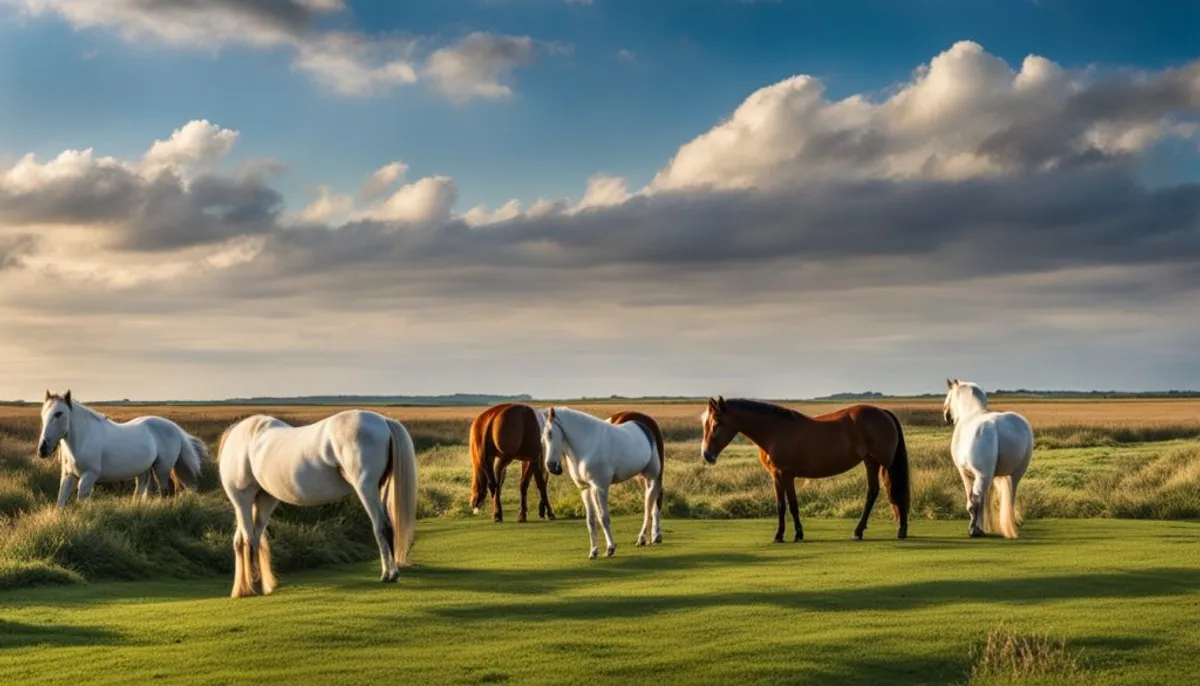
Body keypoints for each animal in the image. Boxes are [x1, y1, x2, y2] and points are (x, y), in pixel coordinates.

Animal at [36, 388, 206, 506]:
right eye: (43, 414)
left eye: (59, 413)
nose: (42, 449)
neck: (82, 440)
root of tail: (174, 427)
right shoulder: (68, 476)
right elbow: (61, 501)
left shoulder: (89, 476)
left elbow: (81, 499)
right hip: (145, 470)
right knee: (142, 489)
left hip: (162, 469)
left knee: (163, 490)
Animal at [544, 407, 667, 556]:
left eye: (551, 434)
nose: (551, 466)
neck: (587, 444)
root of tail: (647, 425)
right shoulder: (585, 489)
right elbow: (591, 520)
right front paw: (593, 551)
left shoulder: (600, 487)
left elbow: (603, 517)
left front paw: (610, 548)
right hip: (643, 478)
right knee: (652, 501)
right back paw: (650, 537)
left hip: (653, 476)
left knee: (649, 505)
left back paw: (644, 537)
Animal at [696, 395, 907, 542]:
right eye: (705, 424)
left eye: (716, 425)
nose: (707, 455)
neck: (775, 431)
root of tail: (883, 411)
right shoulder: (776, 476)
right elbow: (781, 505)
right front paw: (782, 535)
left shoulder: (787, 474)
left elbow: (792, 505)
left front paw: (794, 534)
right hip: (870, 461)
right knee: (873, 491)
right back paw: (861, 531)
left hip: (883, 463)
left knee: (893, 490)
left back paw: (897, 529)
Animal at [940, 381, 1036, 534]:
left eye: (949, 394)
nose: (946, 415)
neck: (971, 413)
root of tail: (995, 426)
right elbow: (987, 499)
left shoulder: (965, 473)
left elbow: (974, 499)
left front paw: (979, 526)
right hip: (1014, 474)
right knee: (1010, 498)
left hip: (982, 475)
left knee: (976, 500)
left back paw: (974, 530)